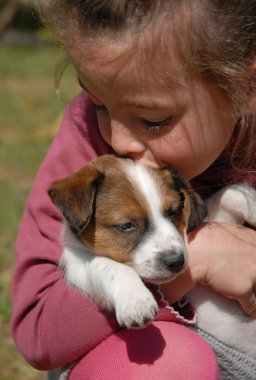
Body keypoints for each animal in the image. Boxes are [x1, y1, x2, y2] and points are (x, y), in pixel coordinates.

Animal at [49, 154, 256, 360]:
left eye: (173, 212)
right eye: (126, 225)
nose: (176, 262)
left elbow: (234, 192)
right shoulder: (77, 263)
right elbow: (105, 265)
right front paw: (136, 300)